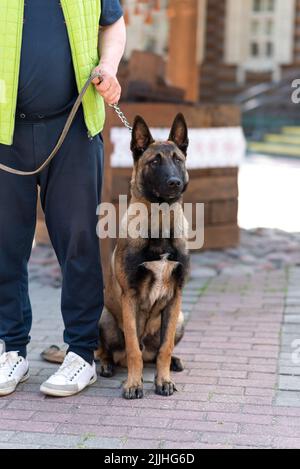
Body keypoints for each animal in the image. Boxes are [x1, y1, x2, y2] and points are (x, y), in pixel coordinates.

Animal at [99, 113, 192, 398]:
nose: (174, 182)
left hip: (181, 319)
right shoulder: (130, 297)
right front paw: (133, 383)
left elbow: (165, 347)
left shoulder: (175, 298)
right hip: (105, 319)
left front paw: (163, 380)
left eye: (177, 160)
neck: (160, 222)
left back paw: (174, 363)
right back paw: (106, 365)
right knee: (106, 351)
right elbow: (133, 350)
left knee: (153, 353)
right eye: (154, 161)